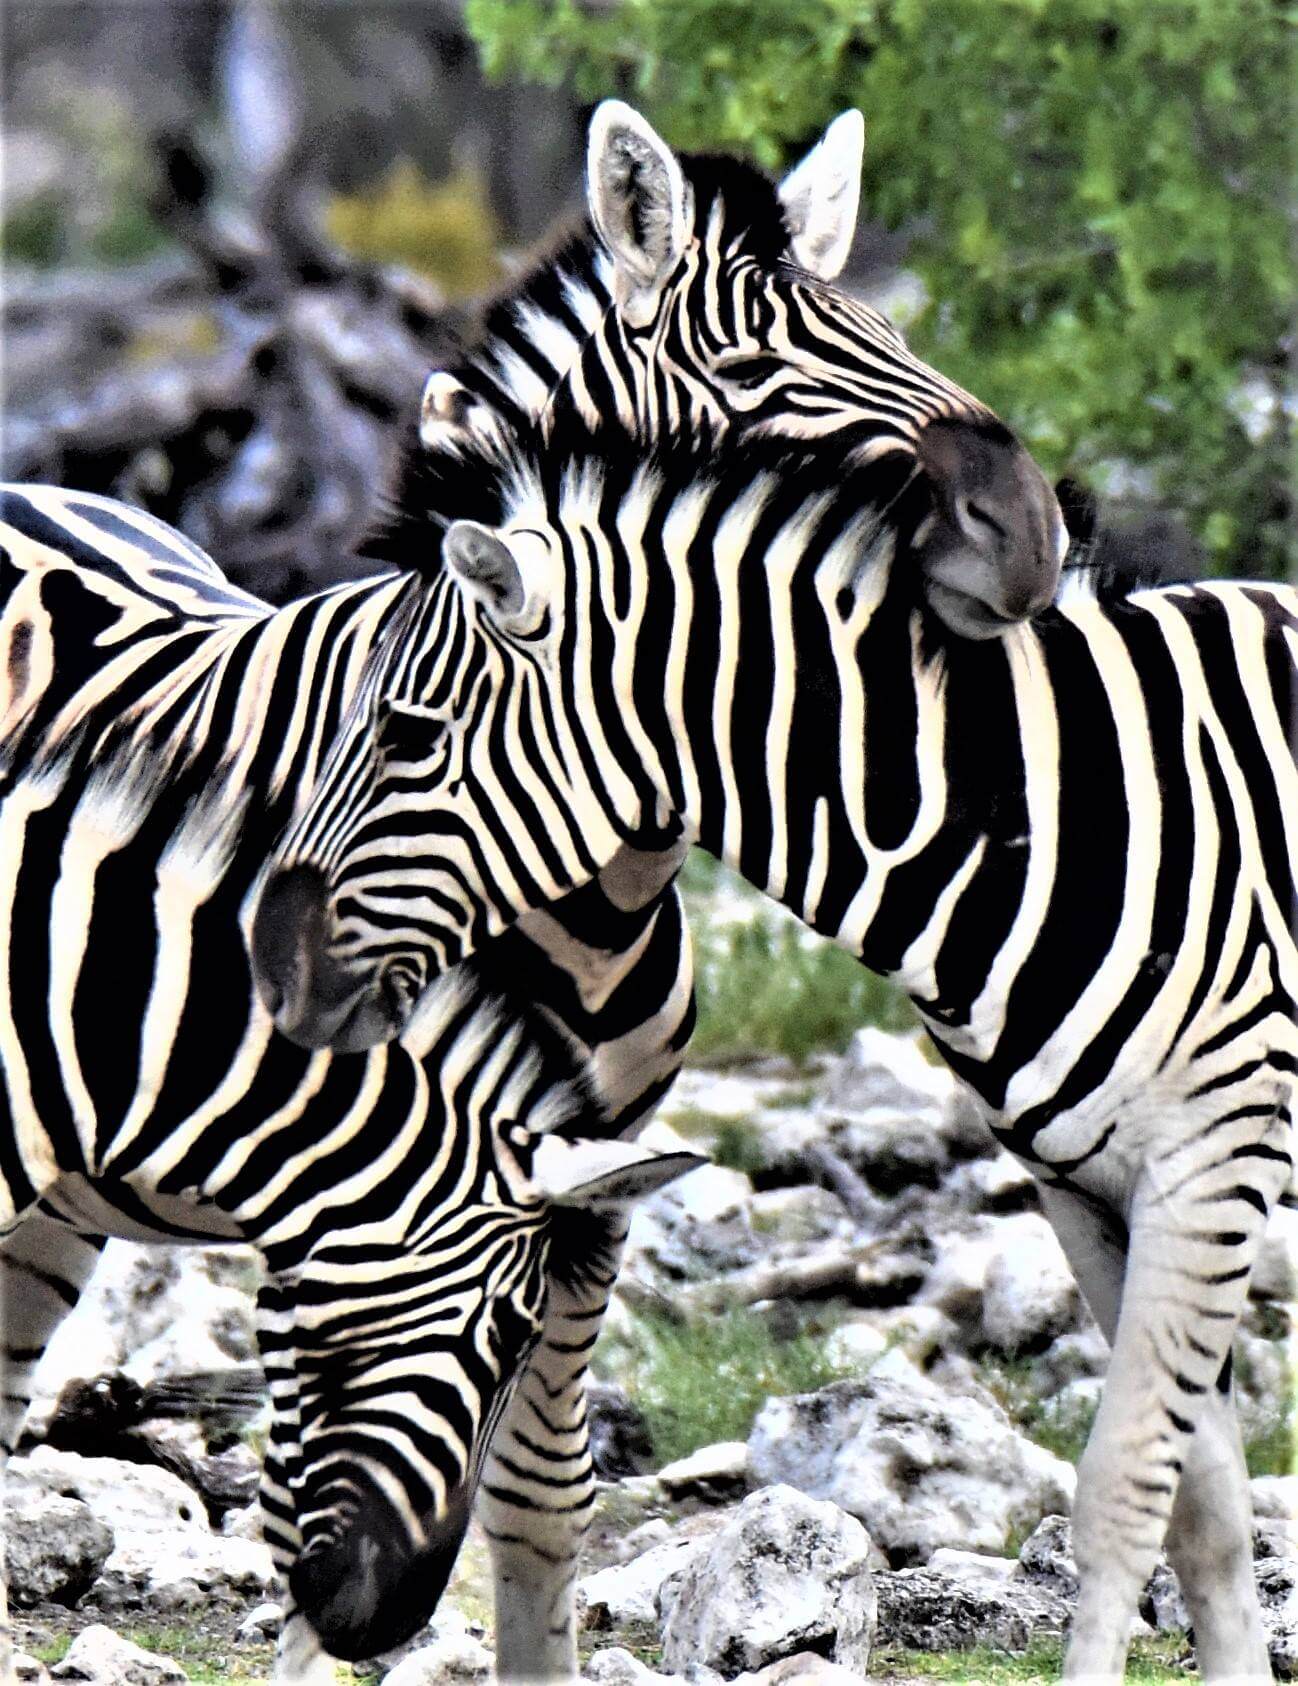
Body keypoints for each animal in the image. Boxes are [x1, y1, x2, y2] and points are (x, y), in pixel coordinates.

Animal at [256, 391, 1296, 1683]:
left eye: (406, 737)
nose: (272, 970)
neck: (1034, 816)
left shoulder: (1208, 1162)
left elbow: (1119, 1489)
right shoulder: (1085, 1187)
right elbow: (1203, 1508)